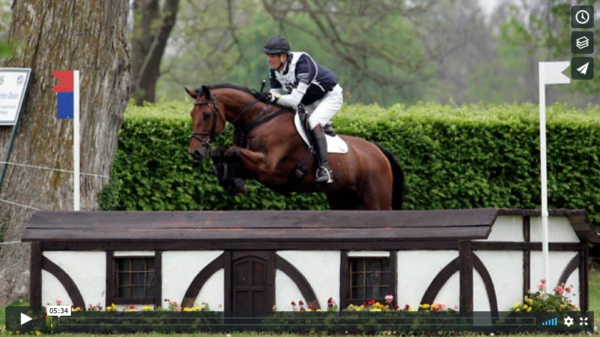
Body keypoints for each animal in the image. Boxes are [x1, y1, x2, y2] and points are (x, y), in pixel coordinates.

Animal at [185, 83, 406, 210]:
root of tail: (378, 151)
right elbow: (220, 152)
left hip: (377, 201)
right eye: (191, 115)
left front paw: (234, 183)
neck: (257, 119)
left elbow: (232, 152)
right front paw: (230, 181)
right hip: (343, 199)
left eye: (207, 115)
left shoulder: (266, 166)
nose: (195, 152)